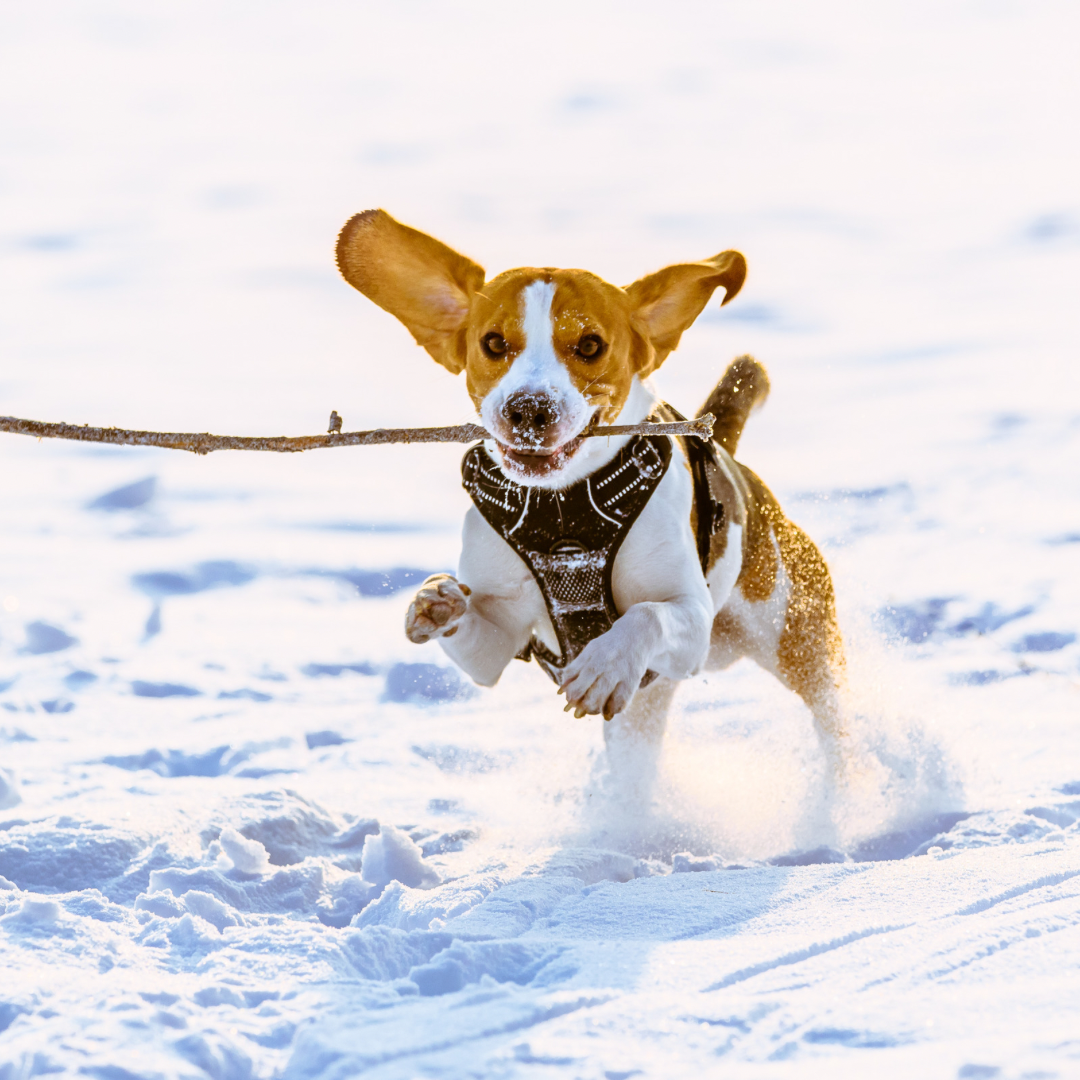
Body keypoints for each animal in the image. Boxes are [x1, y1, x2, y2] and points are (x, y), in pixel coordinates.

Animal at [332, 206, 846, 773]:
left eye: (590, 345)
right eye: (493, 343)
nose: (529, 410)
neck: (564, 508)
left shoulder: (691, 616)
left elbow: (648, 614)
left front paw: (606, 665)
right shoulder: (498, 645)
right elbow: (474, 635)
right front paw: (437, 602)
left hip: (794, 634)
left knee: (835, 720)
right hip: (645, 709)